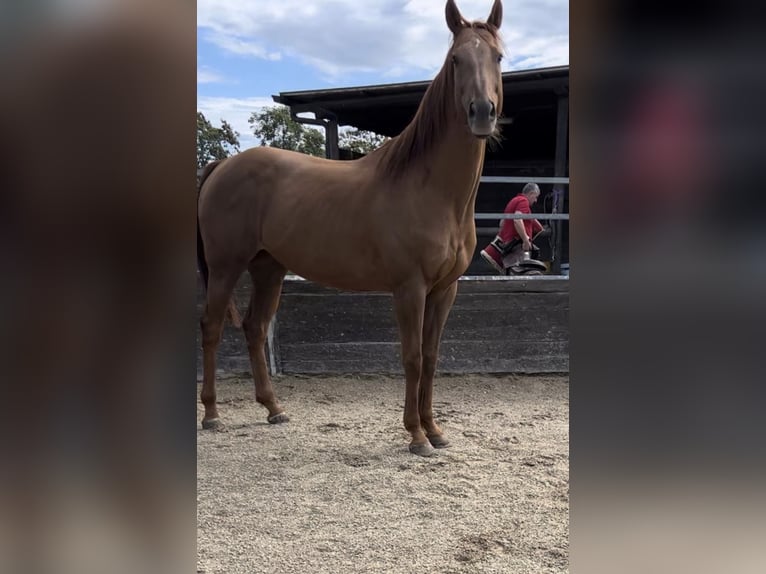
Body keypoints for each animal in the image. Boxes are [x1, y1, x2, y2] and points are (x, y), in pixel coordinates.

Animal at [197, 0, 505, 457]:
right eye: (456, 60)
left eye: (498, 57)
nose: (482, 112)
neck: (430, 189)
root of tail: (223, 165)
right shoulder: (409, 288)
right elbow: (412, 357)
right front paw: (416, 436)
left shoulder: (445, 289)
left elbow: (432, 358)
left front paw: (435, 430)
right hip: (225, 267)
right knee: (213, 328)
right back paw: (212, 415)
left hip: (268, 267)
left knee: (254, 327)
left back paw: (274, 409)